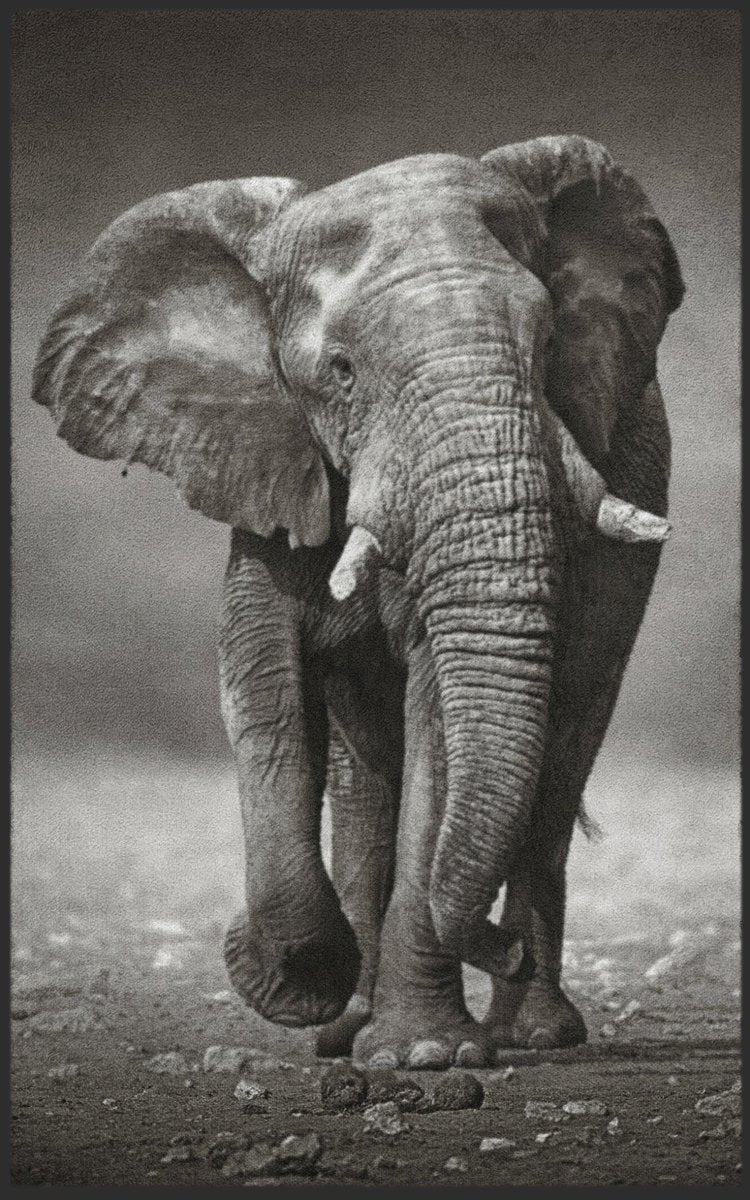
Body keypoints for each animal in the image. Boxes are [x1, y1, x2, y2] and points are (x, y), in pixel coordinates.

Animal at [33, 136, 683, 1068]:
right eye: (340, 373)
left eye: (551, 341)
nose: (499, 948)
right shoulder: (267, 459)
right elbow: (263, 691)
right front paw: (296, 980)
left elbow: (438, 717)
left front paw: (424, 1056)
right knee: (365, 784)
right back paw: (350, 1027)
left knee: (560, 754)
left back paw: (532, 1032)